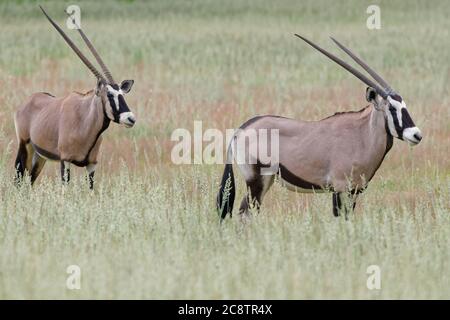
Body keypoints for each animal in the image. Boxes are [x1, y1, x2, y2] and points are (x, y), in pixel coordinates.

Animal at [14, 6, 135, 188]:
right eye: (109, 94)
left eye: (122, 94)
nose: (130, 118)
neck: (85, 120)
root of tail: (28, 101)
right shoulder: (65, 160)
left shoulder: (92, 165)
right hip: (25, 147)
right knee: (19, 179)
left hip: (39, 156)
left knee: (30, 181)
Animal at [218, 35, 422, 220]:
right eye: (392, 108)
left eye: (404, 105)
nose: (416, 135)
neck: (363, 135)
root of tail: (240, 131)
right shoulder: (340, 188)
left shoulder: (354, 191)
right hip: (256, 181)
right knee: (245, 213)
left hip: (266, 181)